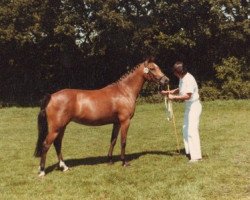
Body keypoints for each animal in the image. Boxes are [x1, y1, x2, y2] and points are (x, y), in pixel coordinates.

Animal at [33, 59, 170, 177]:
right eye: (152, 68)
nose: (166, 80)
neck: (124, 91)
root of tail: (51, 96)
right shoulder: (125, 121)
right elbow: (123, 141)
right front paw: (124, 162)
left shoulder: (116, 123)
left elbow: (113, 140)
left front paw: (110, 160)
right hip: (56, 128)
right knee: (46, 145)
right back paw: (42, 171)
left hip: (62, 126)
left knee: (57, 144)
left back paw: (64, 167)